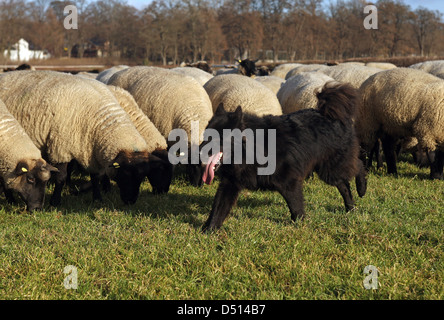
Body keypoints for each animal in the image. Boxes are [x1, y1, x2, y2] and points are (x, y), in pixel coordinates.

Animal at [0, 69, 170, 205]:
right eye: (126, 174)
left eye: (142, 176)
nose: (130, 202)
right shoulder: (61, 148)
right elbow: (61, 177)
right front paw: (55, 202)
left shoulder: (92, 149)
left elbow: (96, 176)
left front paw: (97, 199)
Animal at [201, 80, 368, 230]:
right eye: (205, 136)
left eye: (218, 138)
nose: (200, 152)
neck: (252, 149)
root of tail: (329, 114)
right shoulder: (231, 182)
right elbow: (218, 209)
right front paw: (209, 230)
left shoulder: (289, 182)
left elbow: (296, 207)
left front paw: (300, 226)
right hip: (327, 171)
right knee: (344, 185)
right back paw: (350, 208)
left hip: (332, 167)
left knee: (359, 165)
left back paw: (362, 189)